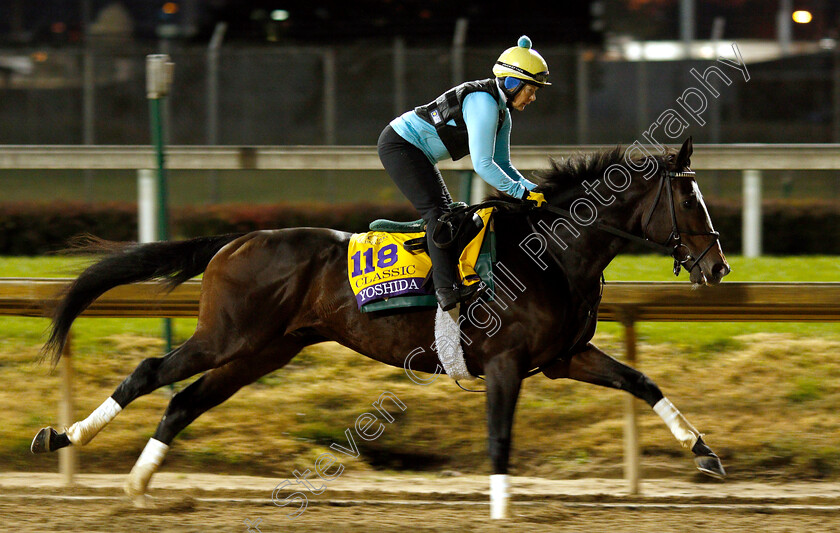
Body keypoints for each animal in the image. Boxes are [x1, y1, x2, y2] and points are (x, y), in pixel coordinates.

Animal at [31, 137, 728, 516]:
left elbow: (642, 382)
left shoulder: (562, 357)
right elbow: (500, 435)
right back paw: (60, 437)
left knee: (184, 400)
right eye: (687, 199)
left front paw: (703, 451)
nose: (718, 266)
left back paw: (139, 481)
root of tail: (232, 241)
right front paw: (502, 508)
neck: (550, 253)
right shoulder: (505, 362)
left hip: (264, 350)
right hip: (229, 336)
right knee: (152, 372)